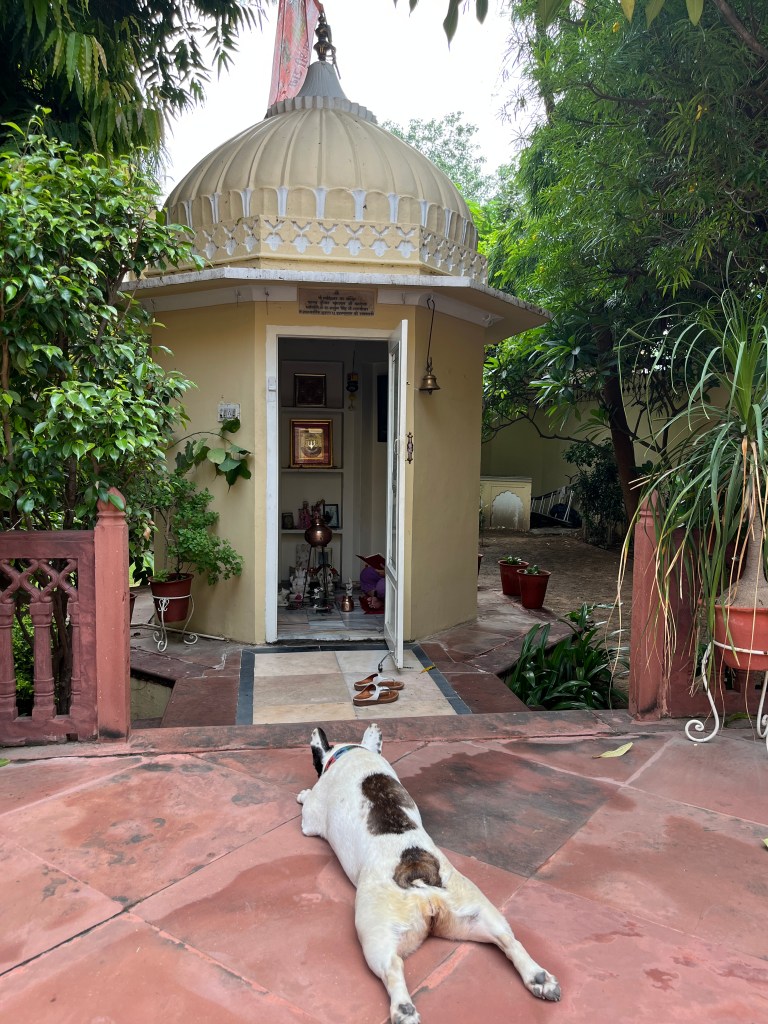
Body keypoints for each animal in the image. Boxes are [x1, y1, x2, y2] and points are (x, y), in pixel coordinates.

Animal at [296, 723, 561, 1024]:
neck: (352, 752)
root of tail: (420, 880)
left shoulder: (311, 819)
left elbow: (308, 807)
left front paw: (303, 793)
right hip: (473, 909)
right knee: (508, 940)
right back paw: (539, 977)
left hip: (374, 929)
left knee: (391, 966)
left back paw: (403, 1009)